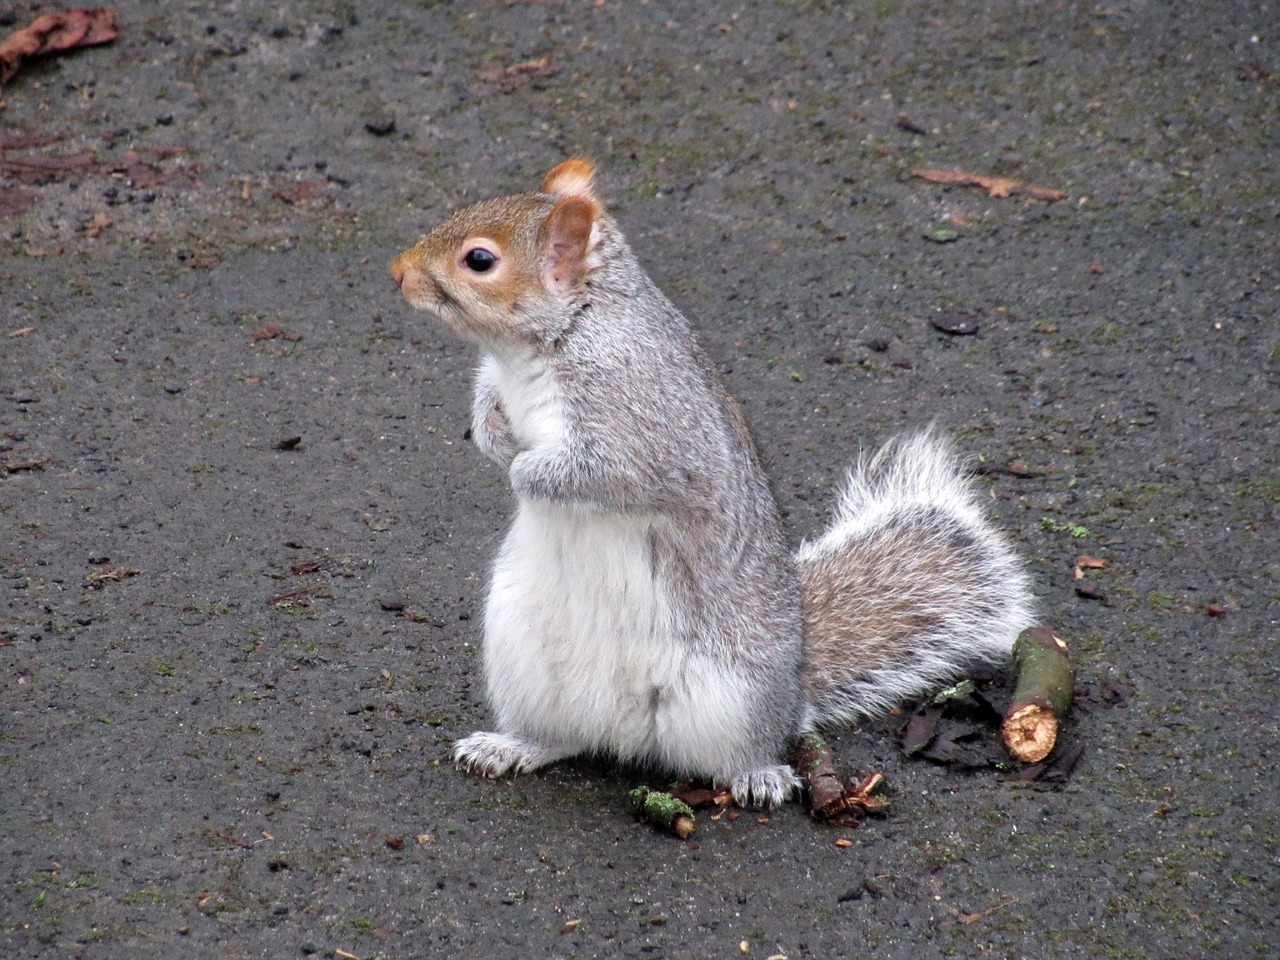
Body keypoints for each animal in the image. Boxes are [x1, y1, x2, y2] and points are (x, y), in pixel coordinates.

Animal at [389, 161, 1039, 808]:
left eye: (479, 260)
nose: (399, 272)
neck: (548, 342)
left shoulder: (646, 424)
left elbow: (610, 474)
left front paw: (524, 472)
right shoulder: (498, 379)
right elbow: (488, 407)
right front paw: (494, 438)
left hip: (731, 699)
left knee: (733, 753)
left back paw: (757, 776)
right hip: (523, 663)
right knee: (562, 738)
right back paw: (510, 747)